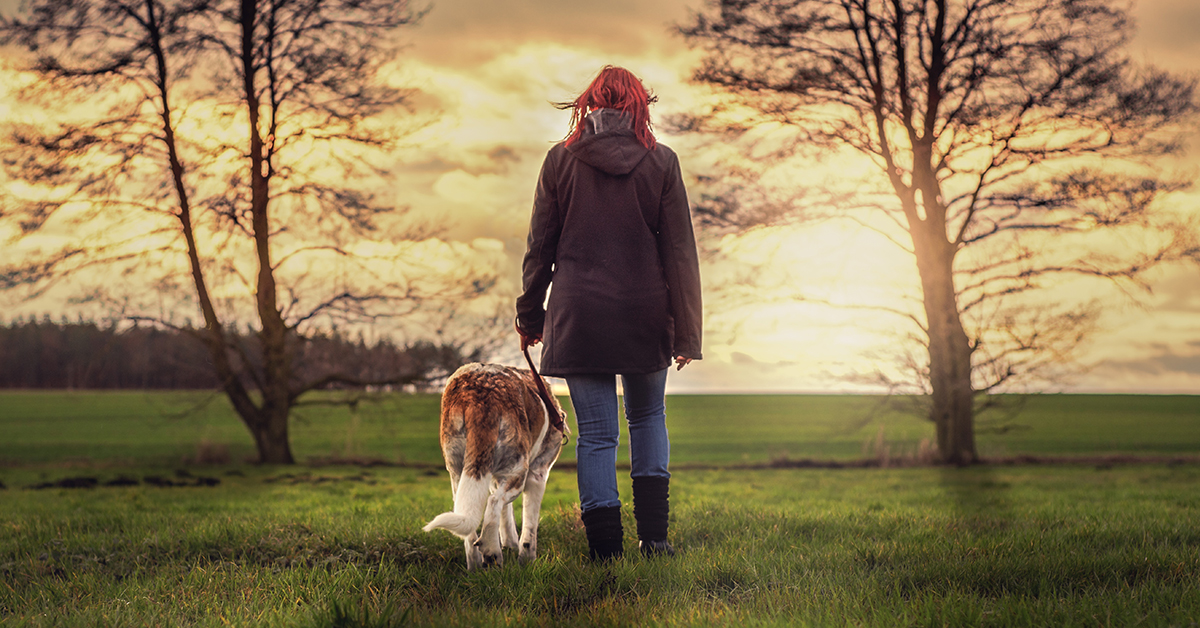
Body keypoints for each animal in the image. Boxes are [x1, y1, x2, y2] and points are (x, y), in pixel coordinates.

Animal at [424, 360, 568, 571]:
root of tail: (479, 397)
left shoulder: (494, 478)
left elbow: (506, 516)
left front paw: (510, 543)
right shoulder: (537, 476)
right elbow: (530, 527)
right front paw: (527, 561)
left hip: (458, 471)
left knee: (470, 525)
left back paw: (475, 566)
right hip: (518, 470)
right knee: (493, 503)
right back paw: (492, 551)